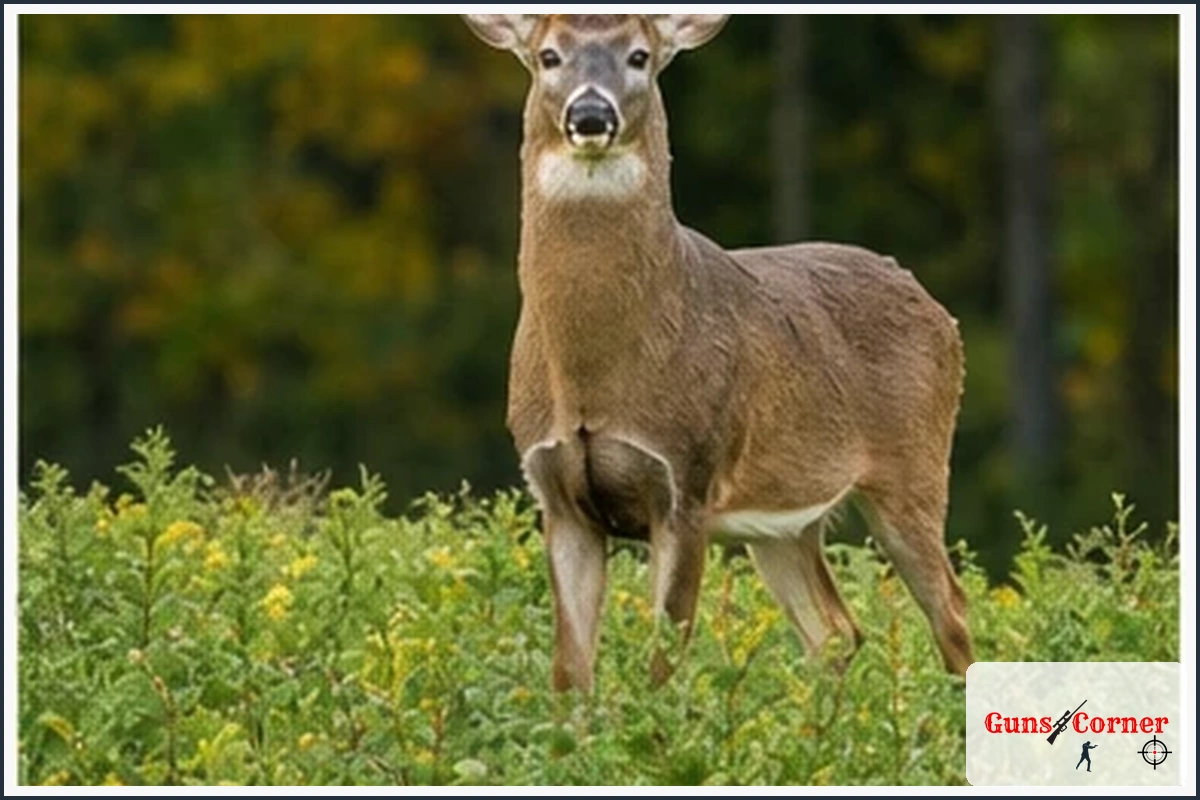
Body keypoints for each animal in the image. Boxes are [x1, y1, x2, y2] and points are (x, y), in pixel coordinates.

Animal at [463, 13, 974, 692]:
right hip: (783, 520)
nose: (592, 113)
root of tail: (940, 311)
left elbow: (663, 661)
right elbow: (570, 672)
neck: (592, 378)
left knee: (952, 615)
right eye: (549, 55)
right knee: (836, 630)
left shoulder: (687, 480)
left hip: (915, 469)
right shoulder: (557, 494)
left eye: (640, 55)